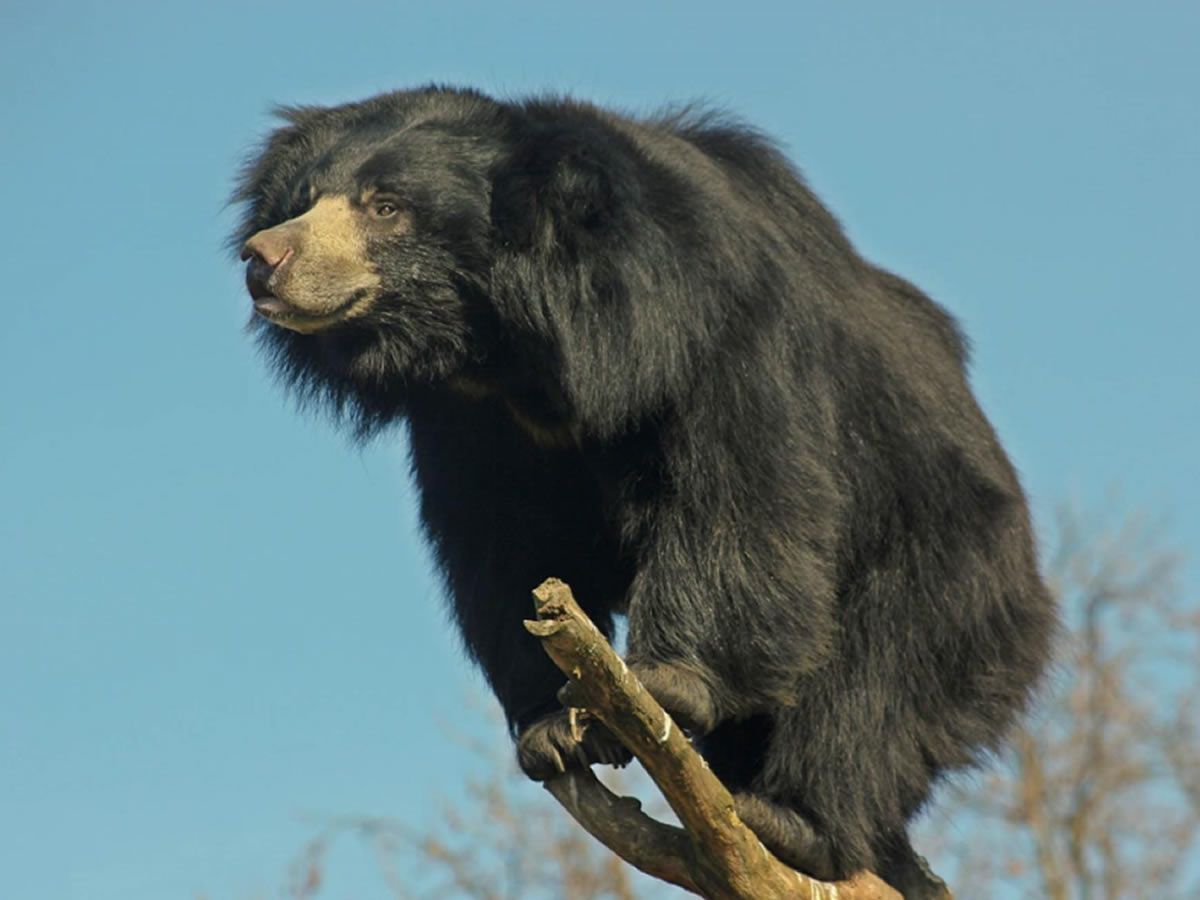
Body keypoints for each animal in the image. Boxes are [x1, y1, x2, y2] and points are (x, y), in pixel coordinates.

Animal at [231, 85, 1057, 896]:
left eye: (386, 206)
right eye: (302, 201)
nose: (263, 258)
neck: (508, 349)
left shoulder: (723, 324)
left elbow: (741, 493)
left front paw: (668, 682)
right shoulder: (473, 424)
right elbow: (503, 548)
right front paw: (549, 730)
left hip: (950, 567)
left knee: (876, 680)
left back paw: (795, 820)